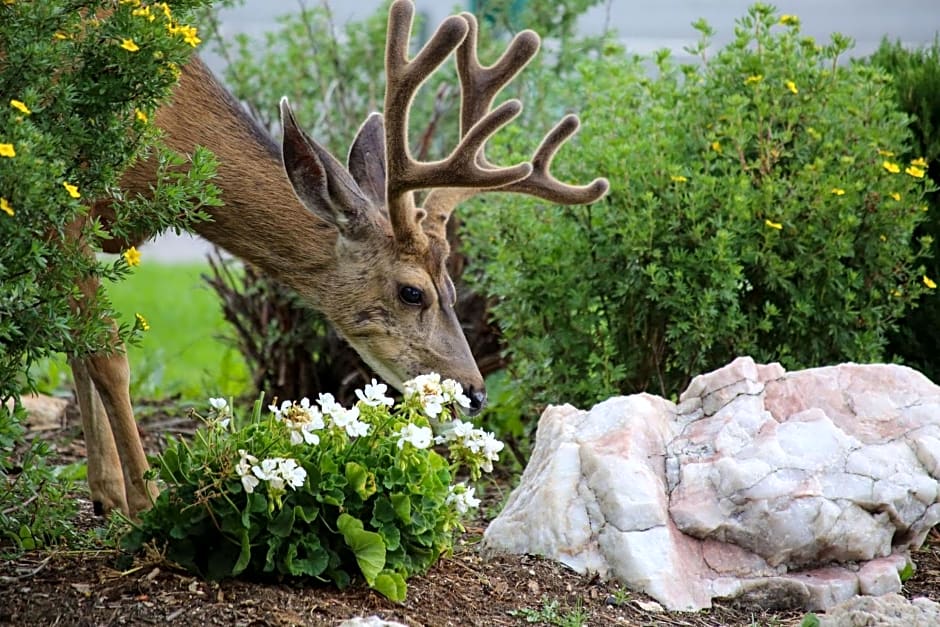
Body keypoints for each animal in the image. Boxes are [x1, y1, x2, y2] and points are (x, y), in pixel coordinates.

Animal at [68, 0, 608, 516]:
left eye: (454, 289)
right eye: (412, 292)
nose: (474, 392)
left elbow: (79, 342)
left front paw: (107, 494)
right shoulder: (66, 197)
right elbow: (107, 353)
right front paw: (145, 501)